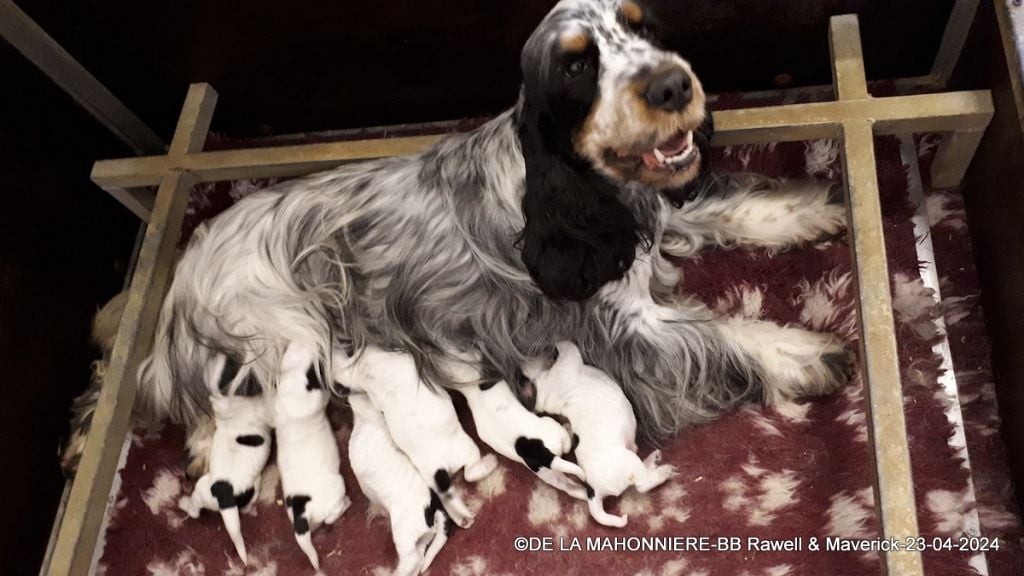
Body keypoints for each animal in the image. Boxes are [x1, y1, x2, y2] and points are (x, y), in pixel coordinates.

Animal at [331, 342, 495, 528]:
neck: (363, 366)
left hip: (431, 479)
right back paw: (490, 463)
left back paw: (462, 518)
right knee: (470, 472)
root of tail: (438, 468)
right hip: (467, 448)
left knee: (447, 495)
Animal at [348, 391, 452, 573]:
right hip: (422, 538)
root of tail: (434, 507)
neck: (368, 424)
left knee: (412, 560)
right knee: (420, 559)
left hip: (404, 535)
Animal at [524, 340, 675, 524]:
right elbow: (569, 348)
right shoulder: (565, 366)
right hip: (628, 461)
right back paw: (662, 472)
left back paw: (651, 461)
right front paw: (560, 341)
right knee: (642, 484)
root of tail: (594, 491)